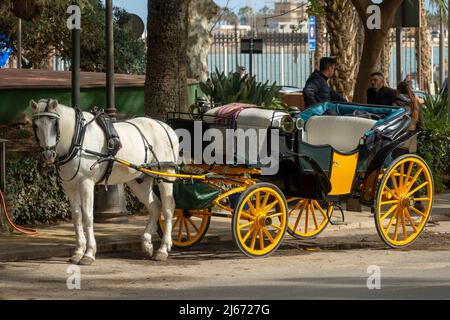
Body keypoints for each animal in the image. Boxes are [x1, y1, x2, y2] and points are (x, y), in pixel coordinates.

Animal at [28, 99, 178, 264]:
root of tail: (165, 127)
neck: (77, 139)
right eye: (35, 125)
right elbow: (77, 216)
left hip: (166, 173)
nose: (48, 154)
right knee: (155, 206)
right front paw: (78, 251)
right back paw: (147, 243)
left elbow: (88, 216)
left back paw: (163, 249)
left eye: (55, 123)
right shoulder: (70, 187)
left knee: (168, 208)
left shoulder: (86, 183)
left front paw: (89, 253)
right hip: (139, 181)